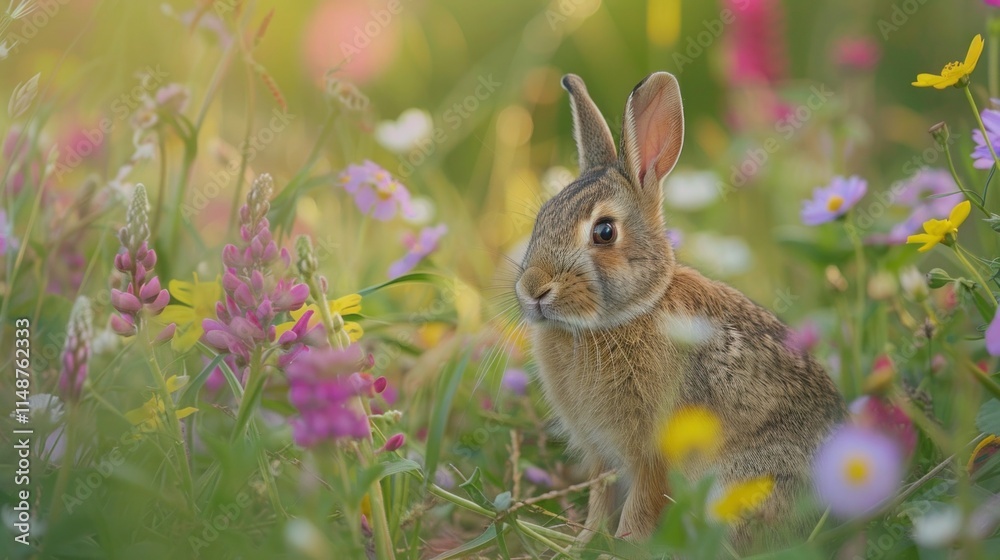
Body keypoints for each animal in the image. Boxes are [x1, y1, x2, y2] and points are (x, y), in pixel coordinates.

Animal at [513, 72, 847, 548]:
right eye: (542, 217)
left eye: (604, 231)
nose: (533, 290)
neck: (627, 314)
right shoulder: (601, 455)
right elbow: (599, 501)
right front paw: (582, 545)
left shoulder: (652, 452)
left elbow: (639, 504)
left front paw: (625, 545)